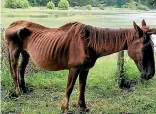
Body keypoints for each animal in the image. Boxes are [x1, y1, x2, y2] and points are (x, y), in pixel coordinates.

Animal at [4, 19, 155, 112]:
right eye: (145, 48)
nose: (150, 74)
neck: (89, 43)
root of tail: (10, 25)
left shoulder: (85, 69)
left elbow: (82, 87)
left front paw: (82, 106)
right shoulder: (74, 68)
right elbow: (69, 88)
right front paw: (64, 108)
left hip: (26, 54)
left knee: (21, 70)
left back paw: (25, 90)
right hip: (13, 53)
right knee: (14, 72)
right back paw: (18, 92)